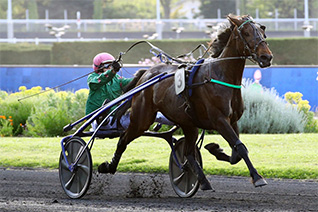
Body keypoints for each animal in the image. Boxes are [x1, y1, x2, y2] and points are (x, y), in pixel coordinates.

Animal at [99, 14, 274, 190]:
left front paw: (215, 149)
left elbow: (236, 153)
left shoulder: (233, 121)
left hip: (188, 124)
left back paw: (202, 180)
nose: (266, 57)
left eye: (262, 32)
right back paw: (108, 166)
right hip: (142, 119)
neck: (220, 76)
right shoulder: (219, 120)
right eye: (246, 32)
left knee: (188, 153)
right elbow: (241, 147)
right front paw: (258, 177)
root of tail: (146, 73)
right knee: (123, 140)